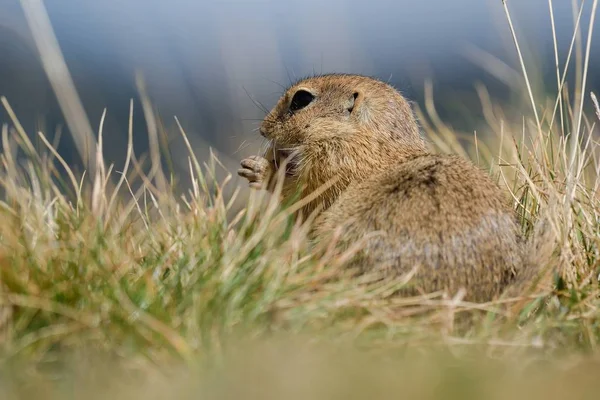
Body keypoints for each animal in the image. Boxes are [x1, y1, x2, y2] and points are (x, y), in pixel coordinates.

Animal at [237, 73, 524, 302]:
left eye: (301, 100)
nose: (263, 129)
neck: (367, 139)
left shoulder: (330, 167)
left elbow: (305, 202)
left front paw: (260, 169)